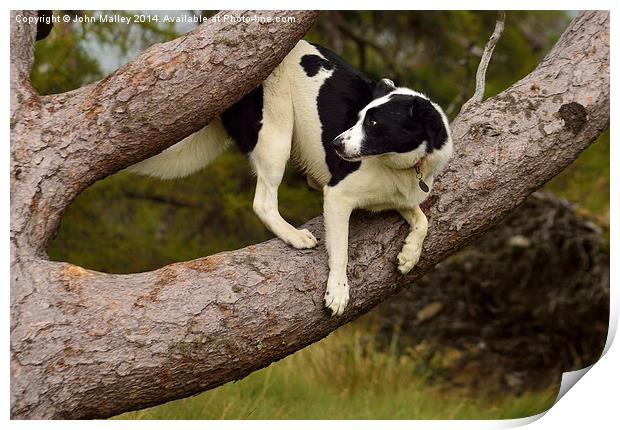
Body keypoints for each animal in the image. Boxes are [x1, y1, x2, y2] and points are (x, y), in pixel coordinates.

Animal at [128, 40, 452, 316]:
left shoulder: (402, 196)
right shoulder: (338, 196)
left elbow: (423, 220)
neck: (403, 165)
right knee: (263, 202)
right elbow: (341, 251)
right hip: (276, 133)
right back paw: (294, 236)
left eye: (373, 123)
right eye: (361, 117)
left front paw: (409, 255)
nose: (335, 144)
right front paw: (338, 292)